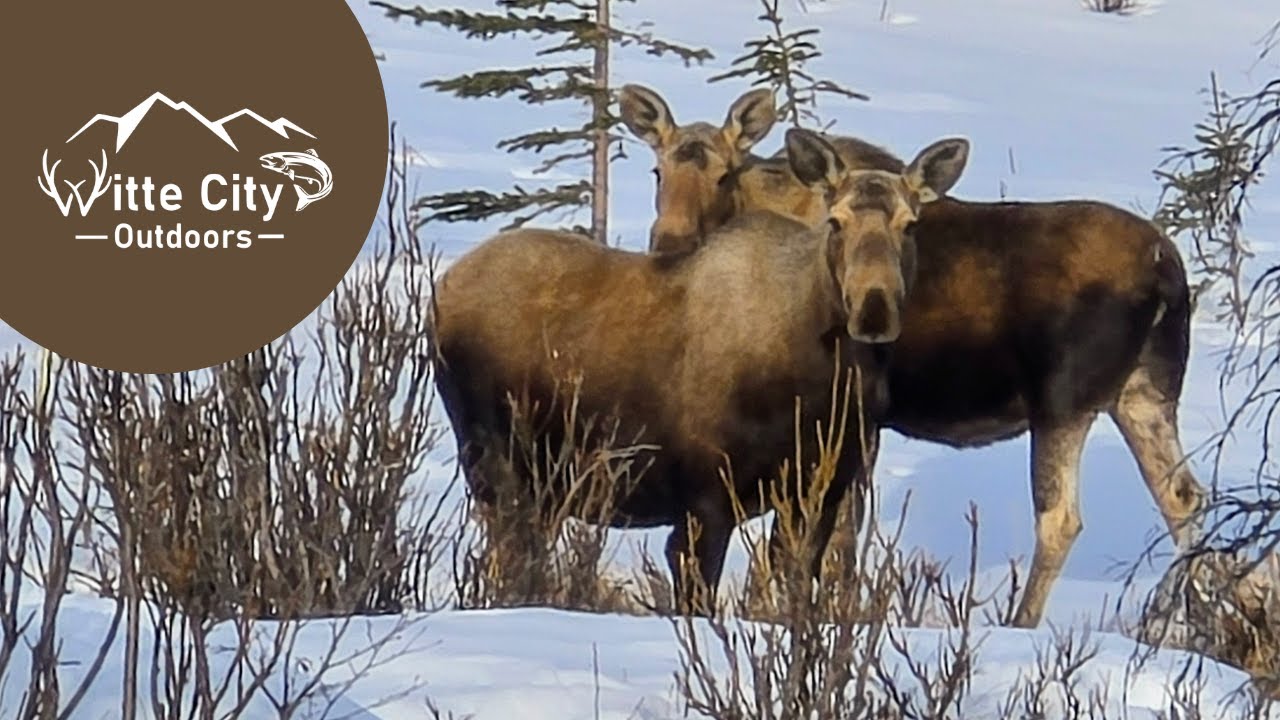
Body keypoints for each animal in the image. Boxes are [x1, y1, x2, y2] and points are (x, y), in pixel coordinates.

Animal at [429, 128, 970, 614]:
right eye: (835, 222)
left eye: (910, 224)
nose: (873, 308)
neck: (828, 382)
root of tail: (441, 287)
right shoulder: (706, 496)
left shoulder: (818, 491)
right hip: (494, 462)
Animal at [618, 83, 1206, 629]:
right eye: (657, 172)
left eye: (724, 175)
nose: (668, 242)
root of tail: (1166, 267)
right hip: (1145, 393)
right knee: (1184, 497)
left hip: (1064, 401)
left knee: (1062, 518)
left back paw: (1023, 622)